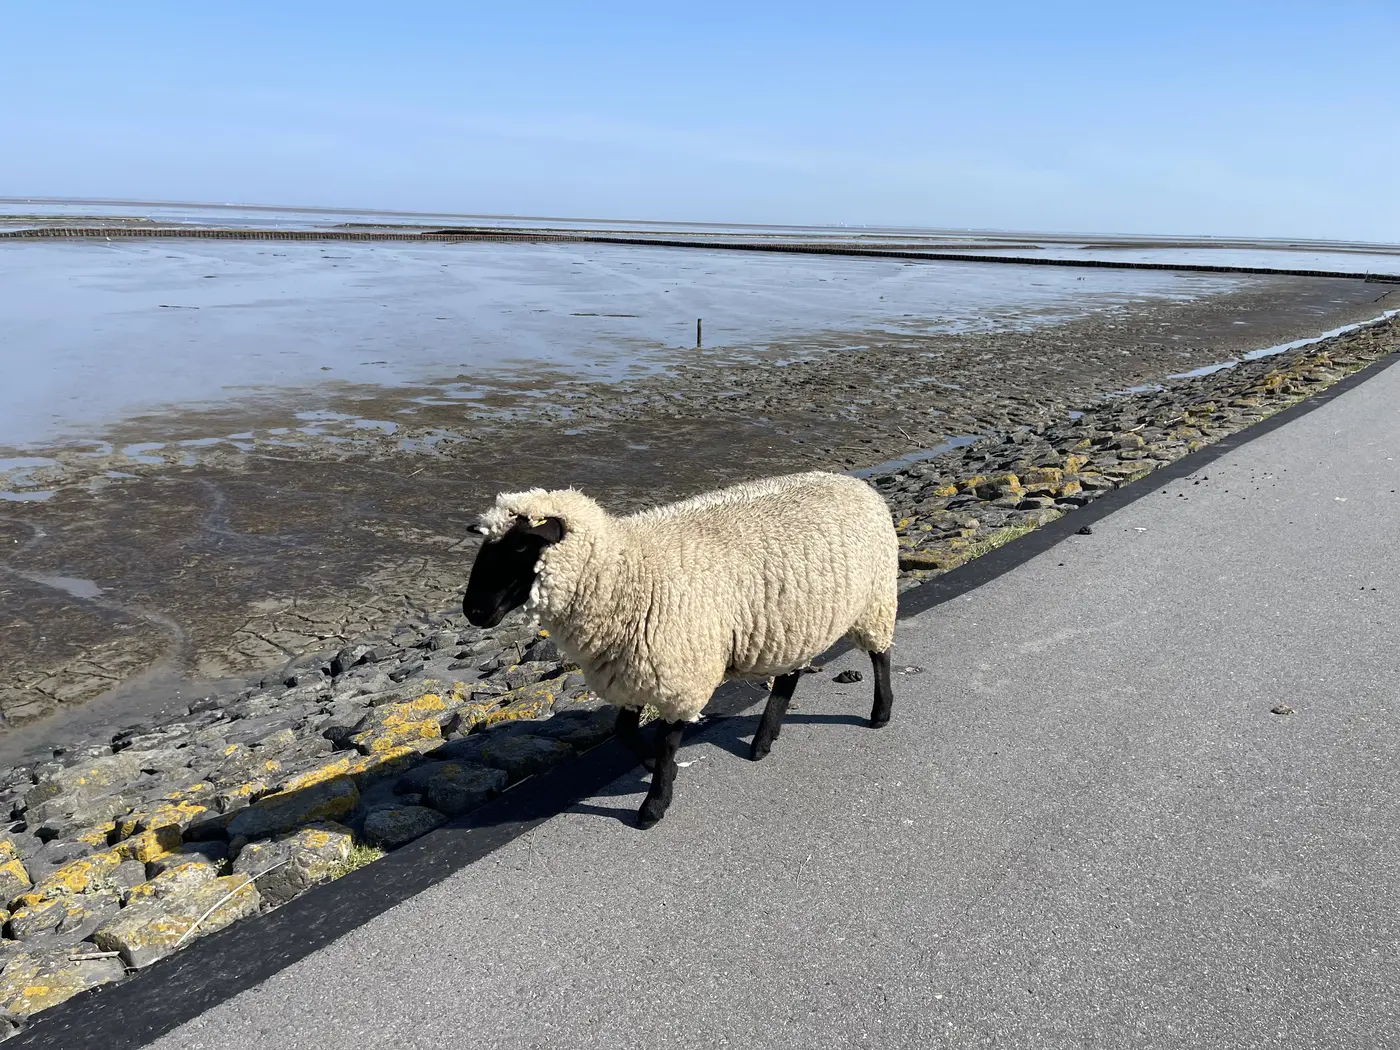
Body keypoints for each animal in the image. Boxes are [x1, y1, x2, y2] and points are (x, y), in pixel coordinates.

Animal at [461, 470, 899, 827]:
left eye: (522, 548)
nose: (473, 611)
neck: (629, 571)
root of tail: (856, 483)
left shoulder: (679, 672)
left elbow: (667, 741)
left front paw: (654, 805)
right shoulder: (632, 668)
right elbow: (623, 731)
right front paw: (657, 769)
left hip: (875, 598)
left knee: (881, 655)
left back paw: (880, 713)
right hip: (793, 624)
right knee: (789, 675)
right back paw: (763, 742)